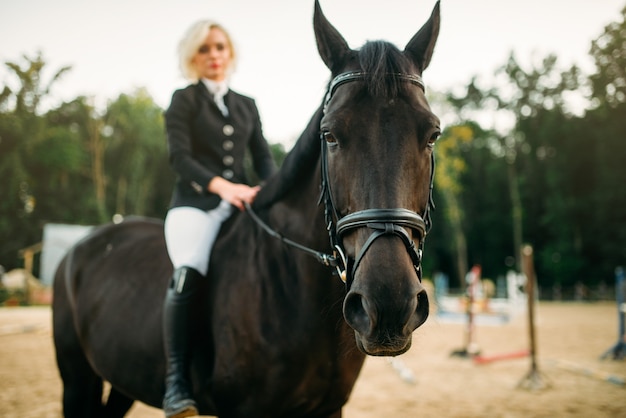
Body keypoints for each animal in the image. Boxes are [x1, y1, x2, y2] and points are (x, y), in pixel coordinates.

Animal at [53, 1, 442, 416]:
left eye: (433, 134)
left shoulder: (329, 407)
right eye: (330, 135)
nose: (389, 305)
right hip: (76, 378)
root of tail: (82, 245)